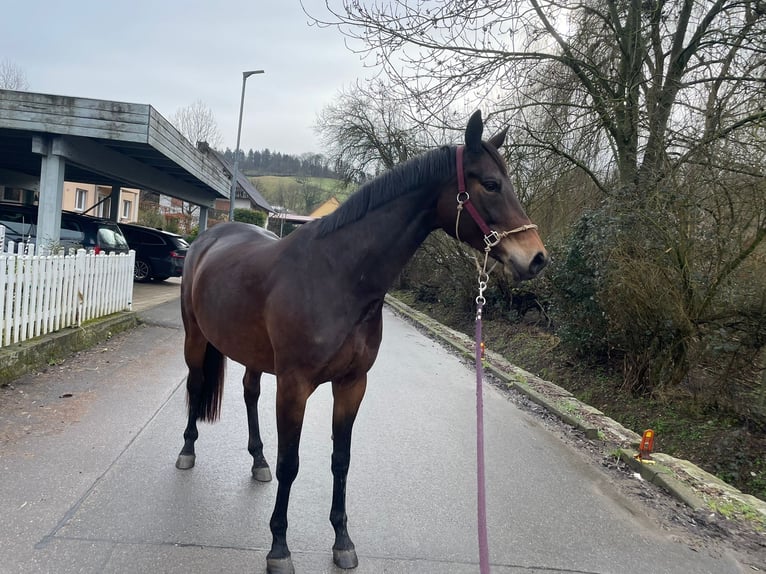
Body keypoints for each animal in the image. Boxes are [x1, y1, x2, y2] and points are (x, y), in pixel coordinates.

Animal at [176, 110, 544, 572]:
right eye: (491, 184)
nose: (537, 257)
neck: (339, 277)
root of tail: (208, 239)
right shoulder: (294, 387)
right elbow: (291, 463)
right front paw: (279, 547)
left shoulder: (352, 384)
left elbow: (341, 461)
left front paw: (342, 540)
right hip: (195, 338)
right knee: (195, 385)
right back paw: (187, 451)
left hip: (255, 355)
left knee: (249, 393)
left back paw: (257, 459)